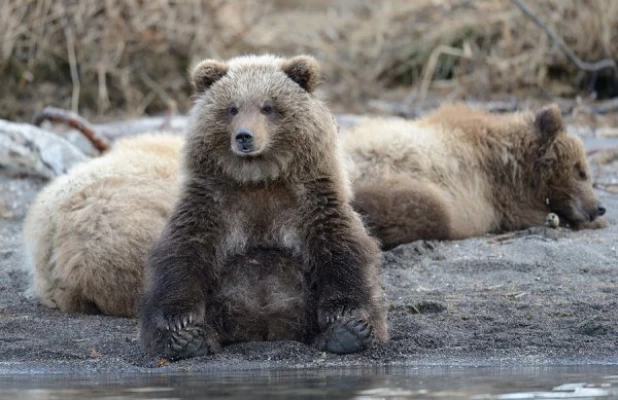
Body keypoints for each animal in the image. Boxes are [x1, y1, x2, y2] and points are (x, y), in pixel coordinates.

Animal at [140, 54, 388, 360]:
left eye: (268, 107)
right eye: (232, 108)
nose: (244, 136)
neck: (259, 178)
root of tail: (262, 328)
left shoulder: (312, 201)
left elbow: (339, 249)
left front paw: (343, 313)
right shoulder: (210, 202)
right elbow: (183, 252)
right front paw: (180, 321)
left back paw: (347, 334)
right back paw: (189, 340)